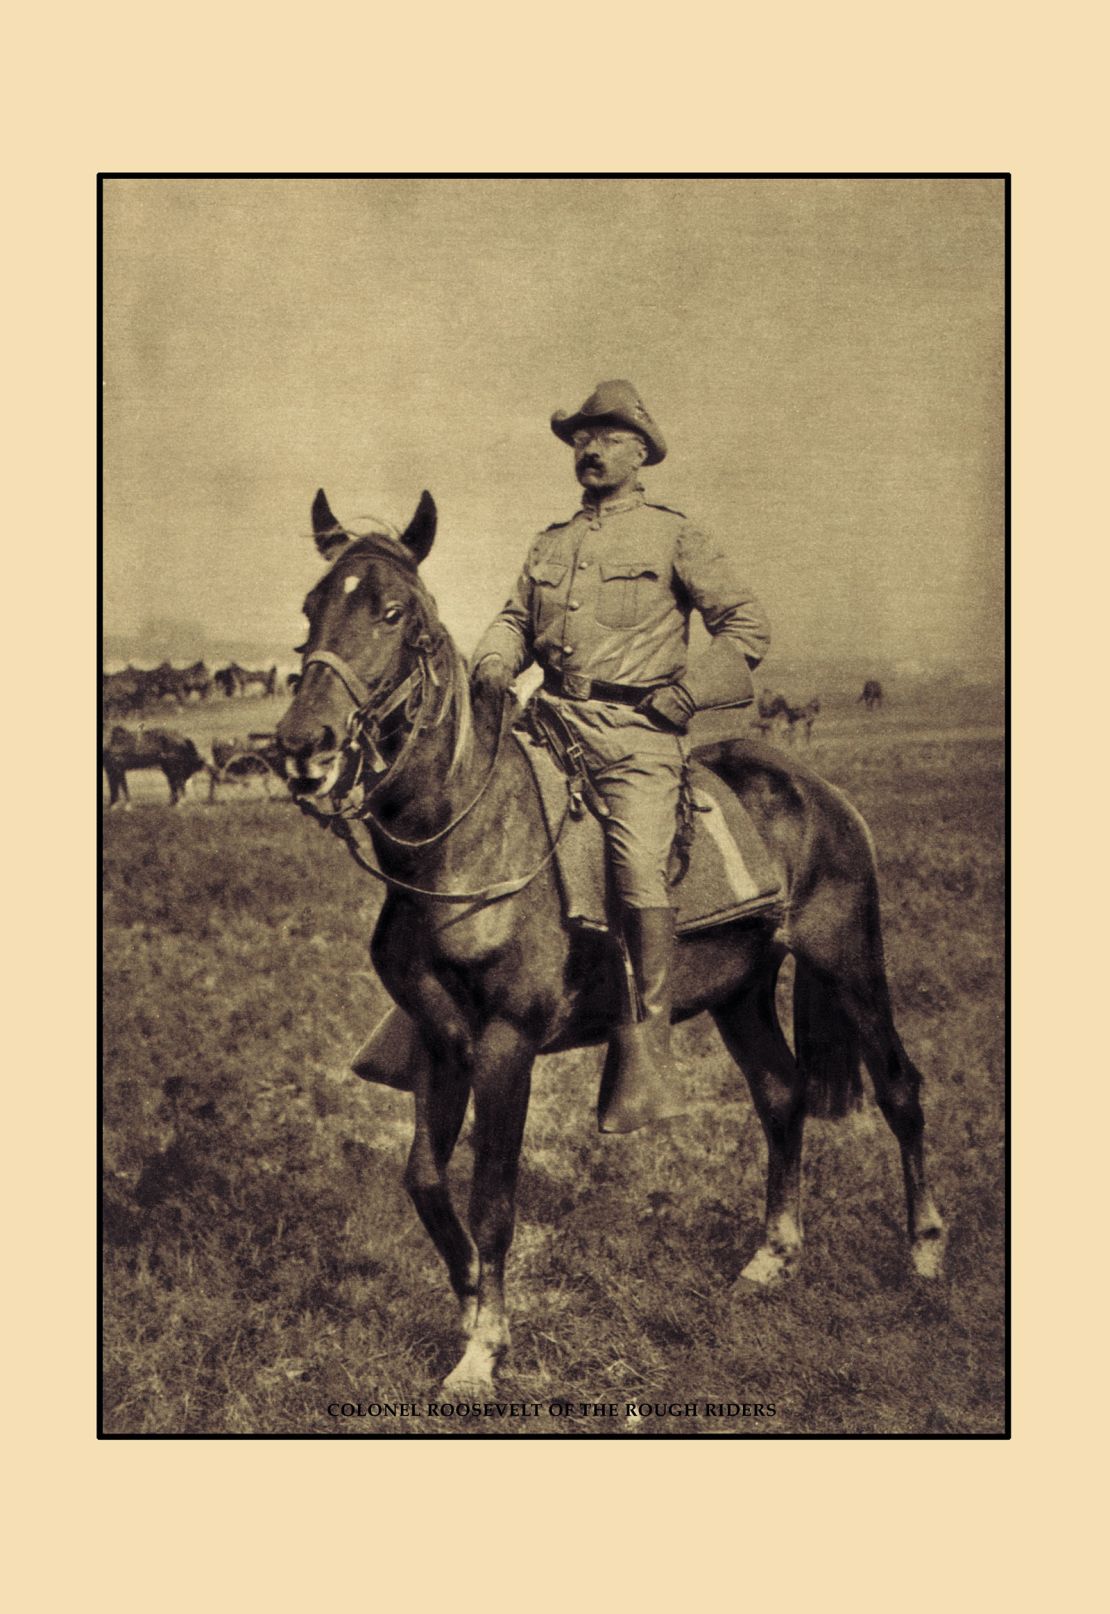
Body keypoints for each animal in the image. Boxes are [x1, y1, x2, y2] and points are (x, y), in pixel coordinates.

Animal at [275, 484, 942, 1394]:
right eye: (312, 605)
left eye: (392, 611)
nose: (300, 747)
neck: (467, 838)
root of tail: (818, 792)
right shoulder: (441, 1042)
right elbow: (424, 1181)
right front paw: (470, 1304)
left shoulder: (506, 1043)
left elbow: (493, 1197)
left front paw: (483, 1352)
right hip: (740, 994)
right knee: (782, 1094)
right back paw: (771, 1260)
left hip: (850, 964)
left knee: (900, 1090)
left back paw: (925, 1253)